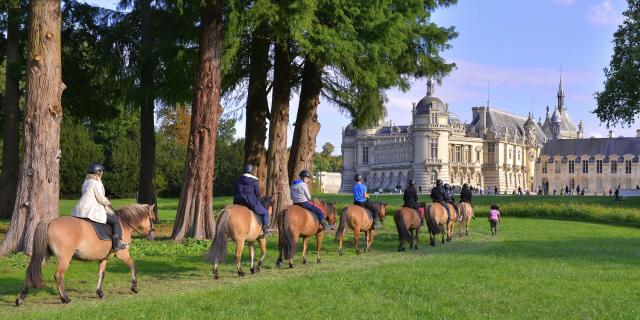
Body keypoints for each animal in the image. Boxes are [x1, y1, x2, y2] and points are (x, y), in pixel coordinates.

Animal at [15, 204, 156, 306]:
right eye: (153, 219)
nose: (153, 236)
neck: (124, 224)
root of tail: (50, 221)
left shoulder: (103, 259)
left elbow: (101, 274)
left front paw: (100, 293)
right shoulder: (122, 253)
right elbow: (133, 265)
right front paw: (135, 287)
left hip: (44, 256)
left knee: (30, 270)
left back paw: (21, 298)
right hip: (64, 258)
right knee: (58, 276)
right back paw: (65, 298)